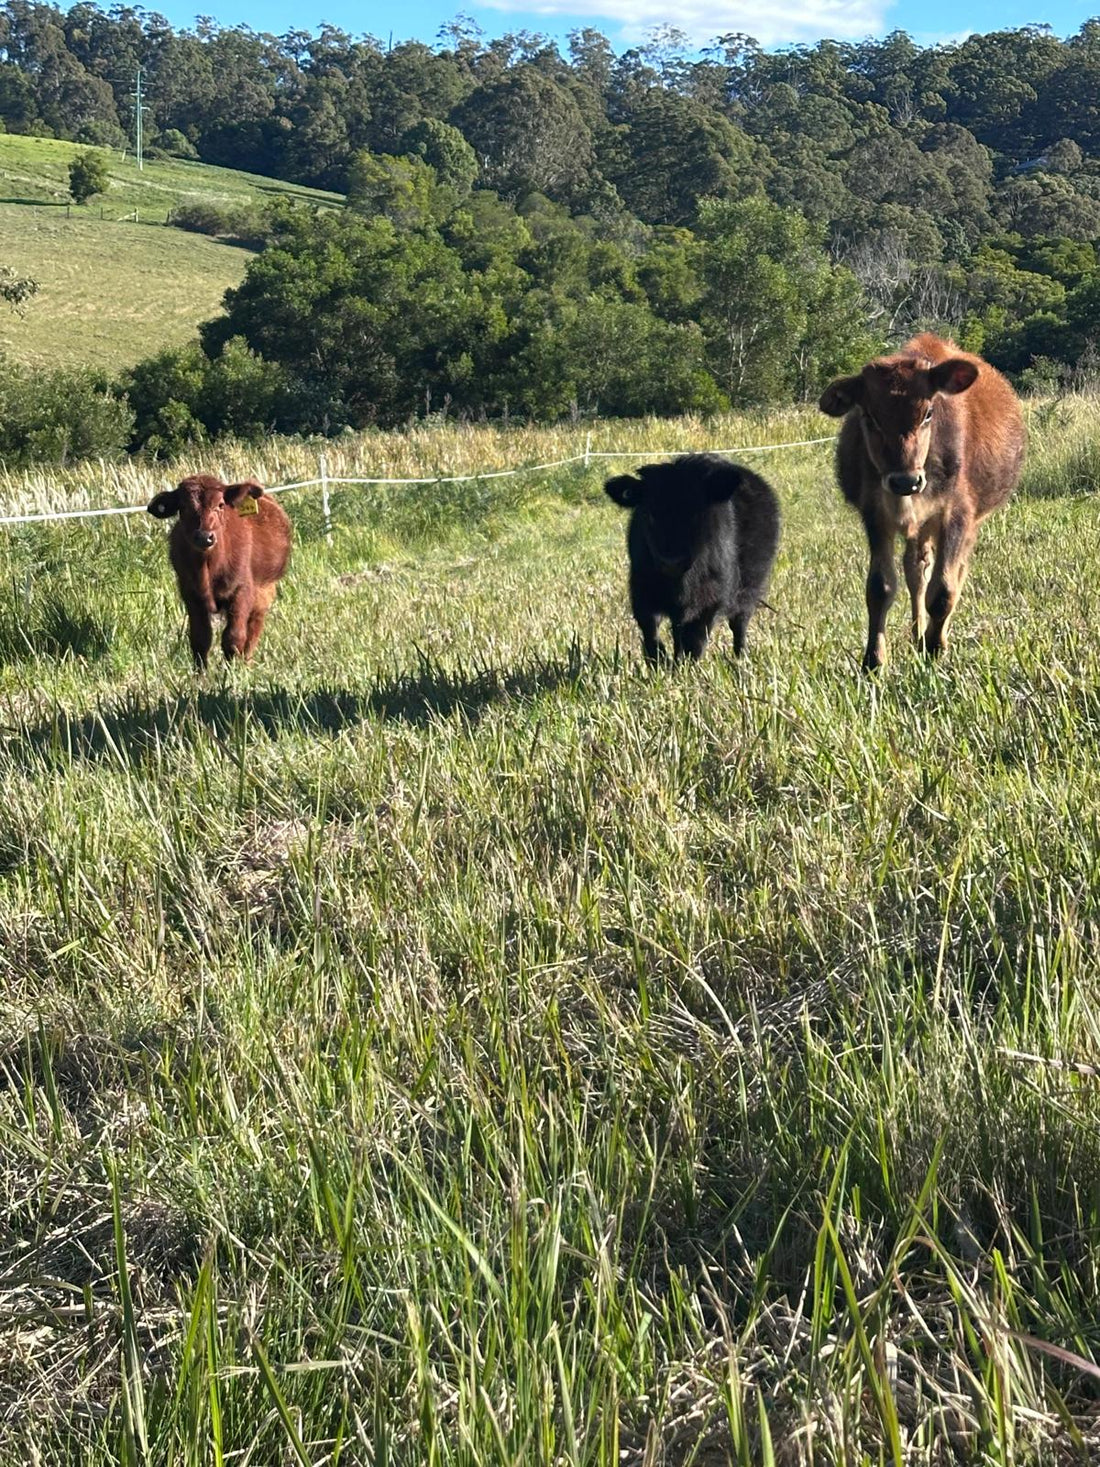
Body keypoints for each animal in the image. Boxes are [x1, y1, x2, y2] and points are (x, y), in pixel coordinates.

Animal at [147, 474, 291, 668]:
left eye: (221, 504)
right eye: (183, 507)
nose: (204, 537)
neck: (208, 567)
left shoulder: (242, 591)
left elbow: (234, 637)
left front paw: (231, 672)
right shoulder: (190, 594)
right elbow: (200, 639)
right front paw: (200, 674)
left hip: (264, 593)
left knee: (253, 628)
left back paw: (246, 663)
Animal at [604, 454, 780, 664]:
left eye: (697, 514)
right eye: (649, 514)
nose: (672, 562)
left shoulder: (712, 598)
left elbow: (695, 640)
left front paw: (686, 667)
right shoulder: (641, 590)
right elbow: (651, 632)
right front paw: (659, 662)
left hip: (750, 589)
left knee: (739, 625)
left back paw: (741, 659)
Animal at [819, 333, 1025, 672]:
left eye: (928, 412)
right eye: (869, 416)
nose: (906, 481)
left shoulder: (956, 515)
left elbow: (943, 590)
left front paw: (934, 649)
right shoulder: (875, 515)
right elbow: (880, 587)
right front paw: (874, 660)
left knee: (953, 572)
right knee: (916, 571)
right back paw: (916, 633)